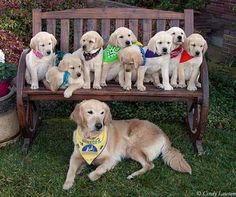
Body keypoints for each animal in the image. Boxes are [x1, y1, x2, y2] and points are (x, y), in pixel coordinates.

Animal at [62, 99, 192, 190]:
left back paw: (133, 175)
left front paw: (94, 174)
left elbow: (99, 169)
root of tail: (163, 133)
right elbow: (71, 170)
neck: (90, 138)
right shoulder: (74, 157)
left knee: (149, 165)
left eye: (102, 113)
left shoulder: (112, 158)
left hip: (131, 146)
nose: (99, 125)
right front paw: (68, 182)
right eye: (90, 112)